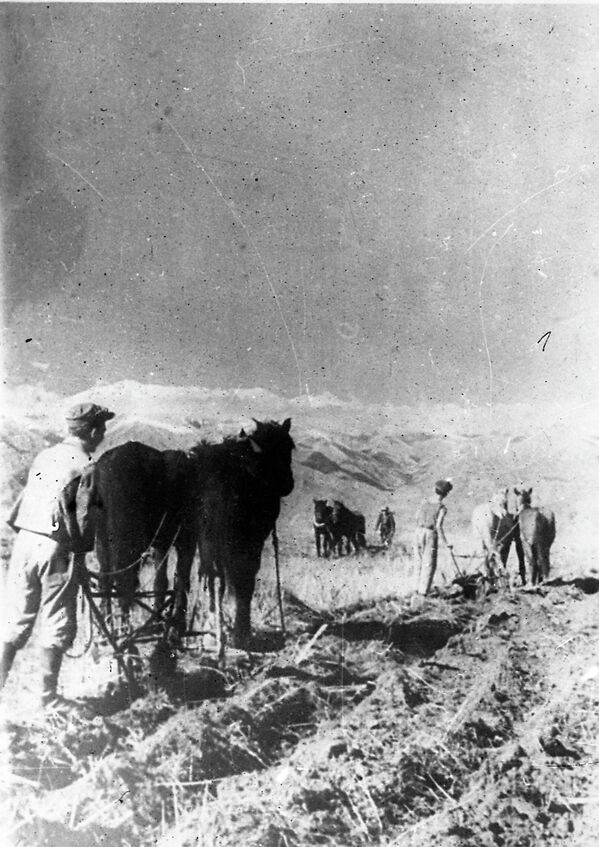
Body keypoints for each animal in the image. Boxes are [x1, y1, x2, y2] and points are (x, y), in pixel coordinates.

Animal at [171, 418, 296, 648]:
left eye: (290, 446)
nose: (288, 484)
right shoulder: (251, 540)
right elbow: (245, 578)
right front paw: (241, 630)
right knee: (220, 575)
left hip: (192, 536)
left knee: (189, 574)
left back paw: (183, 628)